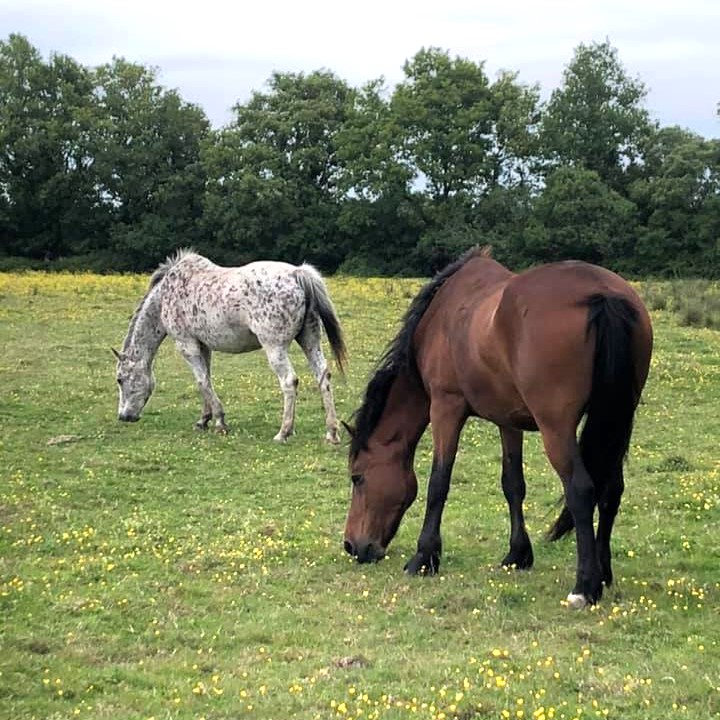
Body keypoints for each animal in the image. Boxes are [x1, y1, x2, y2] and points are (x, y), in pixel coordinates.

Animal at [113, 248, 348, 442]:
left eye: (120, 379)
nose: (124, 416)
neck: (166, 295)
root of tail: (298, 274)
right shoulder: (203, 345)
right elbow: (206, 379)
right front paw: (204, 419)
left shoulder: (186, 345)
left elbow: (201, 381)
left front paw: (220, 422)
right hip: (310, 341)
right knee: (323, 376)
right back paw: (331, 433)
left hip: (275, 347)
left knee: (289, 381)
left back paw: (283, 432)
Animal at [344, 248, 652, 608]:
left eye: (358, 477)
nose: (351, 546)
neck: (442, 315)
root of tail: (602, 293)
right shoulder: (509, 421)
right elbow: (513, 484)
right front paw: (518, 555)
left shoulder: (446, 407)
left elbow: (438, 483)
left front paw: (424, 557)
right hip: (615, 419)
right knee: (611, 489)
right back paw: (603, 573)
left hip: (557, 429)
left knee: (581, 490)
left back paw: (585, 586)